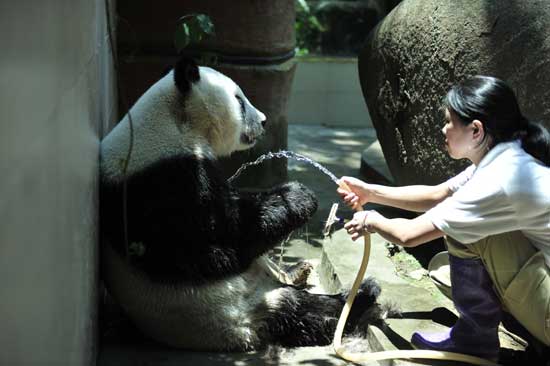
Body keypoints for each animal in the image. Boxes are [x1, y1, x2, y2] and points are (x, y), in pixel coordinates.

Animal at [100, 57, 384, 352]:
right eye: (239, 100)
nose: (263, 120)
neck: (172, 122)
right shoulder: (166, 183)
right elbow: (222, 243)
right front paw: (297, 195)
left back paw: (298, 272)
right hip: (239, 312)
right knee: (300, 311)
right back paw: (360, 300)